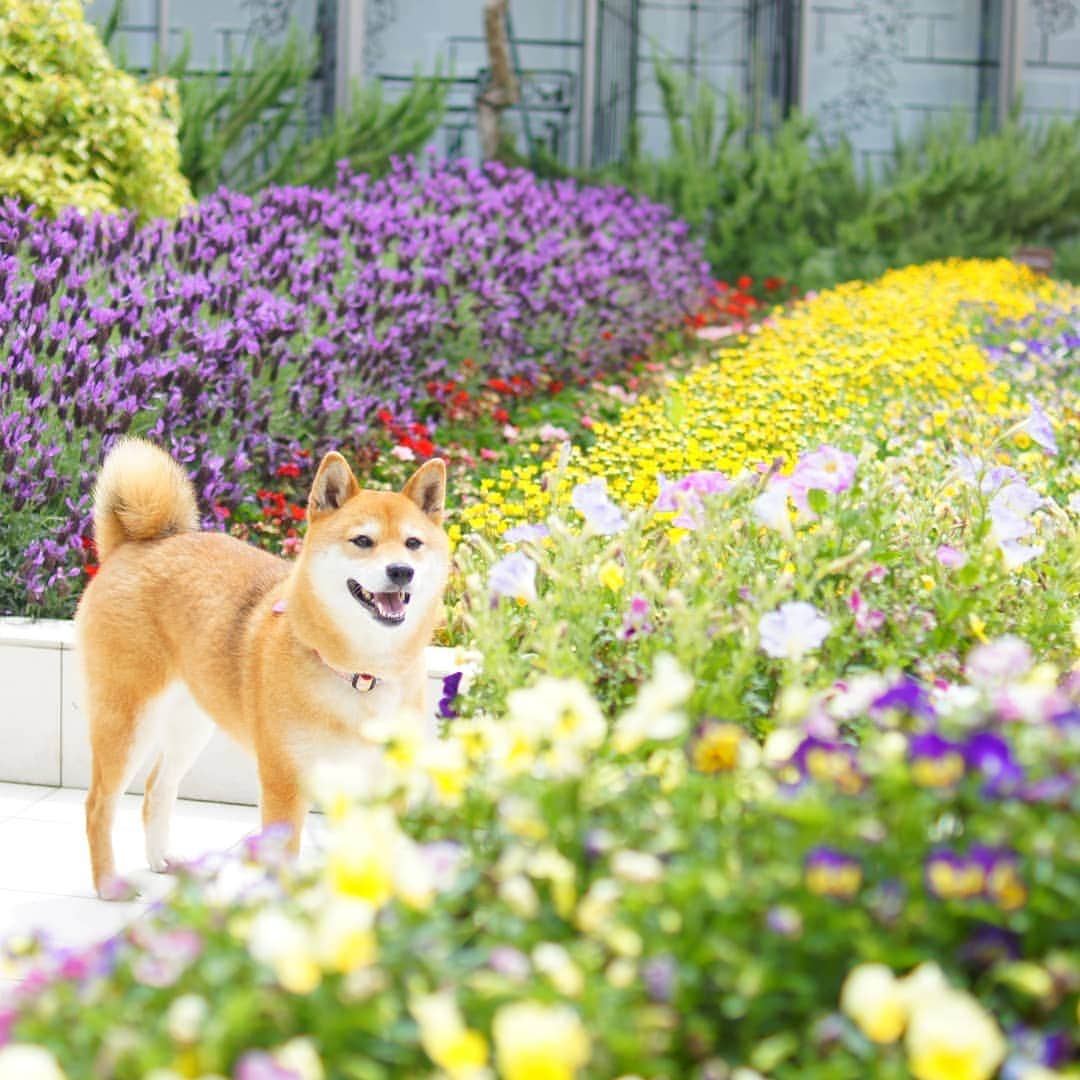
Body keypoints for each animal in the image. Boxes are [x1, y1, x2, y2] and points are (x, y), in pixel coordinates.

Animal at [77, 436, 447, 894]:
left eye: (413, 543)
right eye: (363, 541)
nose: (401, 571)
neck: (361, 677)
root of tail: (131, 545)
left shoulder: (378, 788)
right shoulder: (283, 781)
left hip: (191, 723)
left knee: (155, 790)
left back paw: (163, 860)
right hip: (129, 720)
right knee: (98, 804)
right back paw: (109, 884)